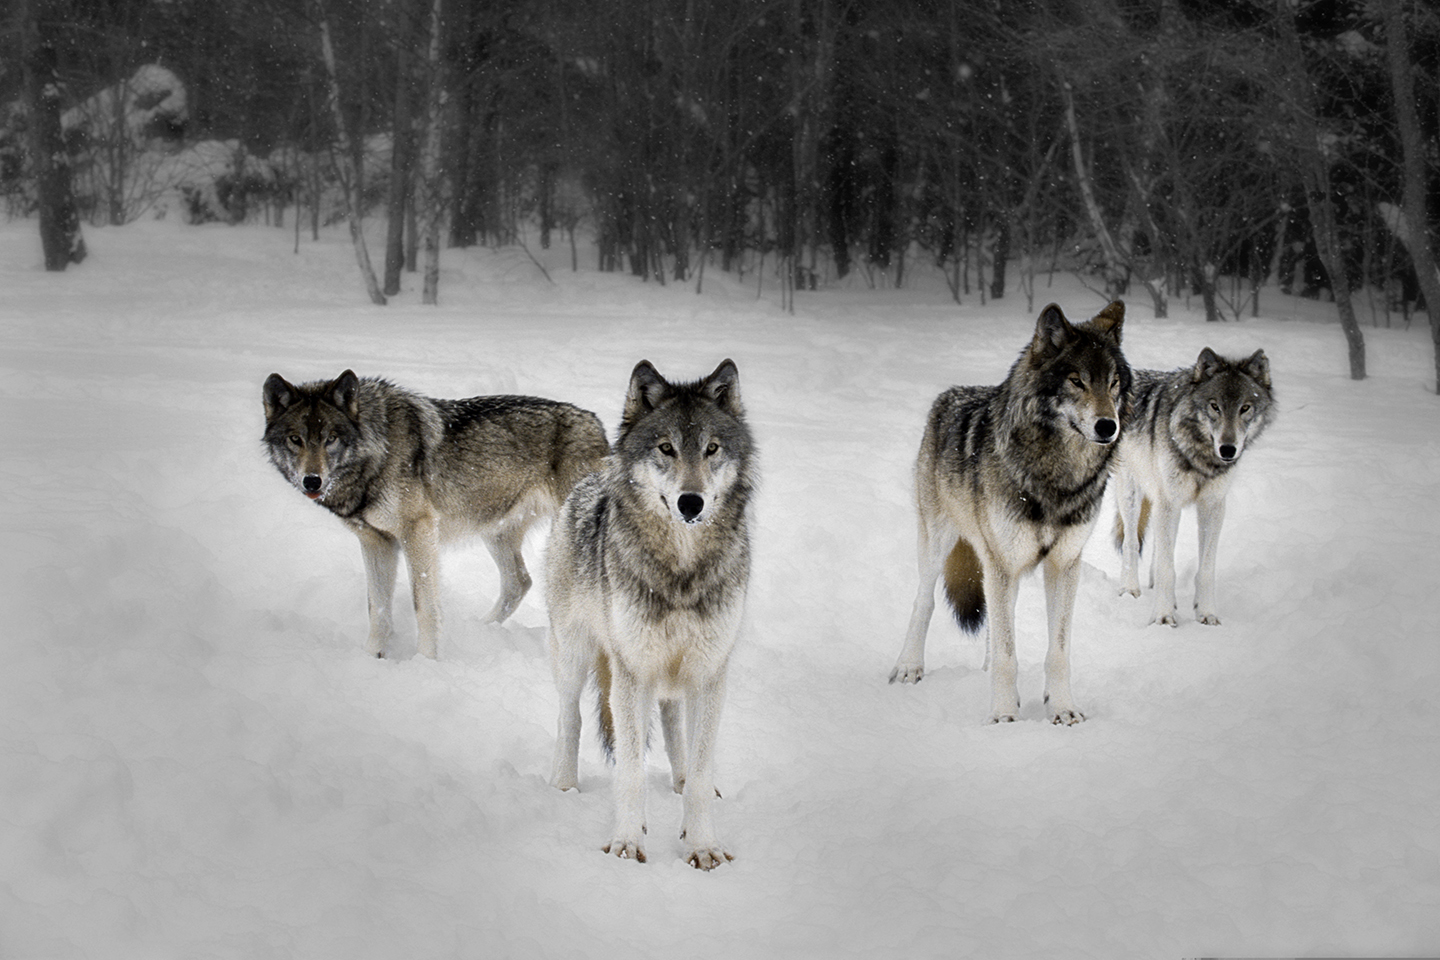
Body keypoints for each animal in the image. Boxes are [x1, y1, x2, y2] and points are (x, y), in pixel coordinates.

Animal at [262, 370, 609, 659]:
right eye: (296, 440)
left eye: (330, 439)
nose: (312, 481)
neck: (377, 452)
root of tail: (596, 423)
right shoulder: (375, 541)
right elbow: (377, 609)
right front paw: (372, 657)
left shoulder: (418, 533)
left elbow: (424, 606)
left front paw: (425, 661)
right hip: (495, 532)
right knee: (519, 582)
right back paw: (482, 628)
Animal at [547, 359, 755, 871]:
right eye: (666, 448)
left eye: (711, 449)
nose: (690, 502)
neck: (681, 571)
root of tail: (590, 476)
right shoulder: (632, 671)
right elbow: (630, 770)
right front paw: (626, 842)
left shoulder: (709, 672)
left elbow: (700, 770)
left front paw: (702, 845)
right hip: (576, 655)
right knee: (570, 717)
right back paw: (564, 785)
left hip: (672, 674)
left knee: (673, 722)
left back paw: (677, 781)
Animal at [888, 302, 1131, 725]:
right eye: (1077, 381)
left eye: (1114, 382)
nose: (1108, 426)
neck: (1056, 477)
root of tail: (949, 395)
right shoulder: (1003, 561)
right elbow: (1007, 653)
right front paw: (1003, 716)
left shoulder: (1064, 564)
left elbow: (1057, 651)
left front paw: (1062, 708)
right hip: (942, 545)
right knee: (925, 601)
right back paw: (909, 667)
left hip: (1001, 566)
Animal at [1113, 347, 1273, 627]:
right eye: (1214, 406)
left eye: (1245, 408)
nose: (1228, 449)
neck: (1202, 458)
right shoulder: (1169, 502)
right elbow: (1167, 568)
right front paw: (1163, 617)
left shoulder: (1212, 506)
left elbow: (1206, 569)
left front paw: (1207, 614)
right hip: (1132, 495)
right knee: (1131, 543)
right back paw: (1130, 590)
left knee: (1159, 548)